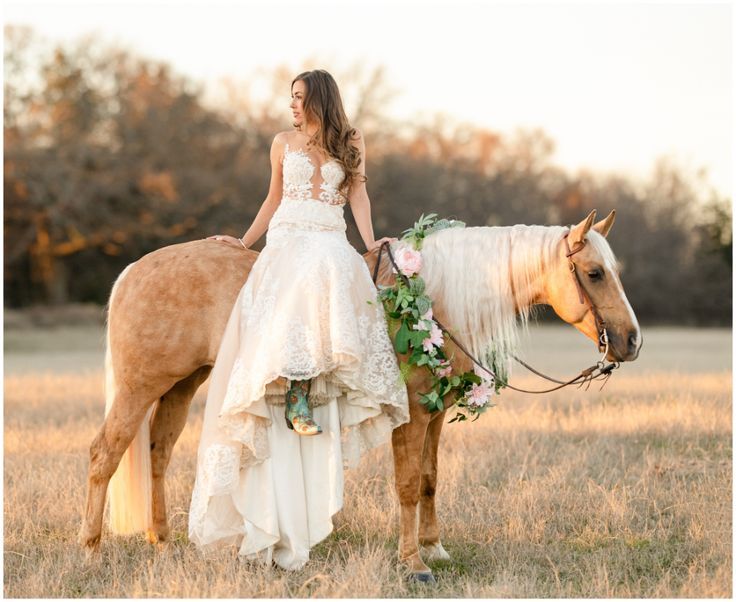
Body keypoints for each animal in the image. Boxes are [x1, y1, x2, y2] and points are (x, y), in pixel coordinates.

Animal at [79, 209, 640, 580]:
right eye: (593, 274)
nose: (631, 341)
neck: (431, 301)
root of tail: (133, 270)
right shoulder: (412, 416)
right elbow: (408, 485)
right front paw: (412, 563)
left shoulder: (435, 415)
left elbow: (431, 480)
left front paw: (434, 550)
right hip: (140, 387)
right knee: (105, 454)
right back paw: (91, 551)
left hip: (180, 384)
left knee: (157, 454)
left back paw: (161, 542)